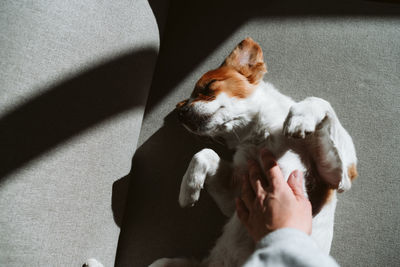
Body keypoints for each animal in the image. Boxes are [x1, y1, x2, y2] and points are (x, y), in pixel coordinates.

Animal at [148, 37, 358, 267]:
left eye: (209, 85)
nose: (181, 114)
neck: (259, 136)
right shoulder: (235, 197)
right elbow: (205, 153)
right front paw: (188, 190)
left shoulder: (337, 178)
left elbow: (320, 101)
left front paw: (300, 117)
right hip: (161, 263)